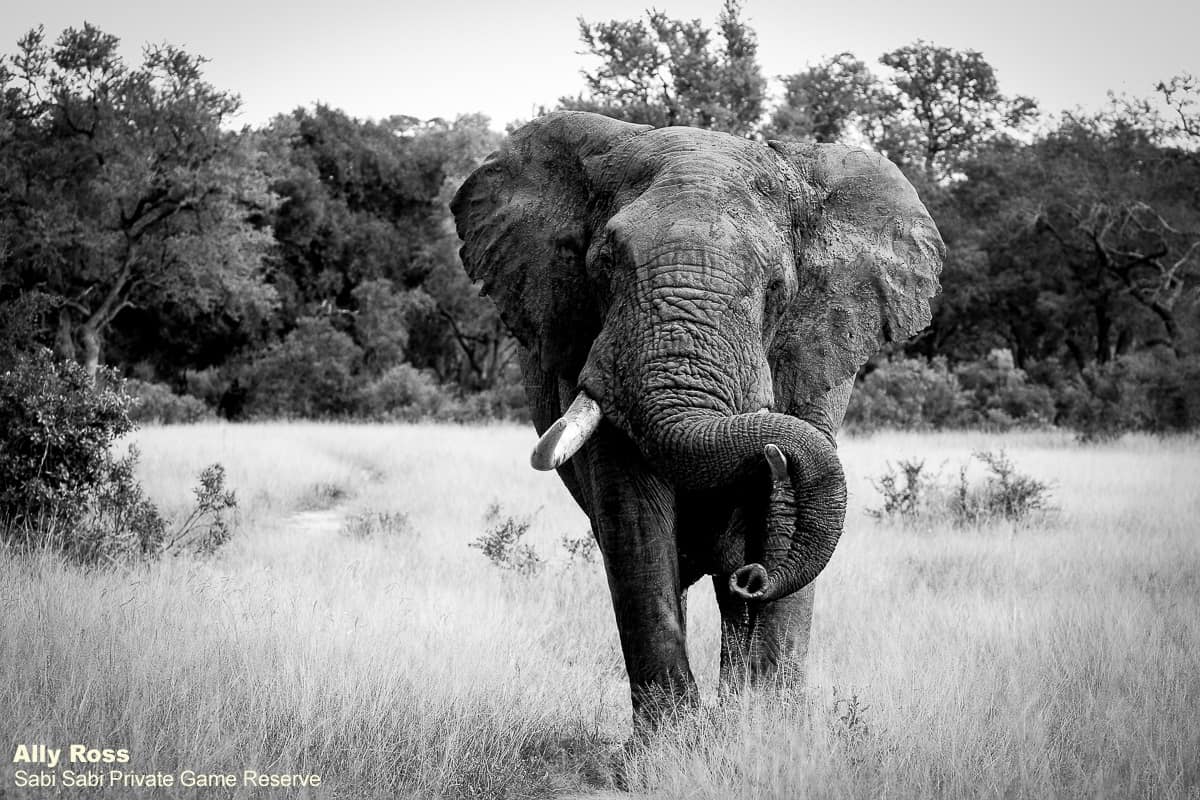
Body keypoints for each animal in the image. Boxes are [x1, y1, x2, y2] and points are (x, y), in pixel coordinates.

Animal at [451, 111, 944, 727]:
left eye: (778, 287)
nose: (754, 578)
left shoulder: (820, 354)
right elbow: (635, 520)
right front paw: (674, 738)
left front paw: (766, 725)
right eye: (603, 266)